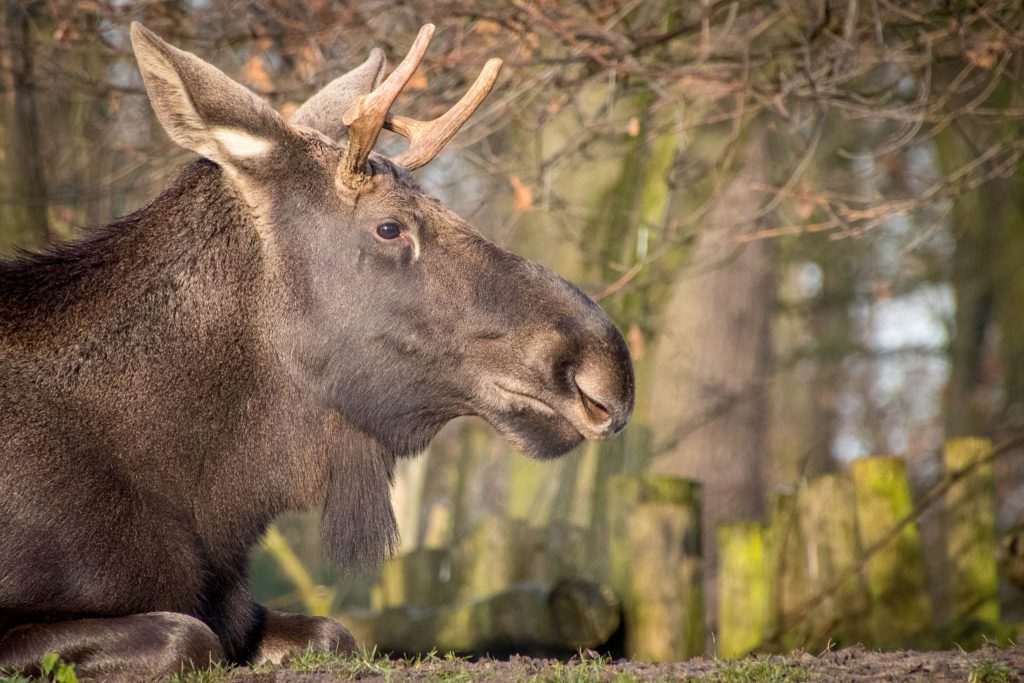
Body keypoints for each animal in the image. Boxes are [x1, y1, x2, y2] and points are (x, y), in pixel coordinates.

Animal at [0, 22, 630, 683]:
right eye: (389, 227)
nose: (604, 368)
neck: (203, 498)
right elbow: (187, 634)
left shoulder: (242, 606)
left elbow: (333, 632)